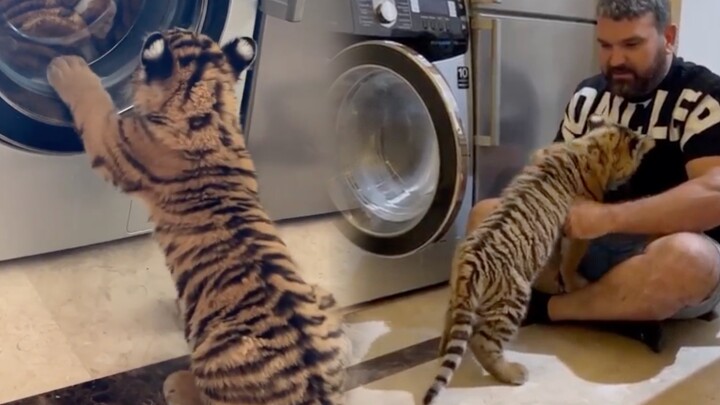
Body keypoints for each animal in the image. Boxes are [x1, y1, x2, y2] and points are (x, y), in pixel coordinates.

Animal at [46, 28, 349, 405]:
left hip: (219, 354)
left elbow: (94, 103)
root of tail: (316, 390)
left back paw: (176, 383)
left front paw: (67, 67)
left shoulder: (116, 142)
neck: (211, 107)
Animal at [422, 116, 656, 404]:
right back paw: (513, 372)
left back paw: (443, 351)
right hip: (513, 300)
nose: (630, 182)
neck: (591, 145)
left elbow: (557, 258)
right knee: (482, 342)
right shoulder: (579, 226)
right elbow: (571, 261)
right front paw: (572, 282)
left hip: (457, 295)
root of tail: (469, 265)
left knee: (452, 326)